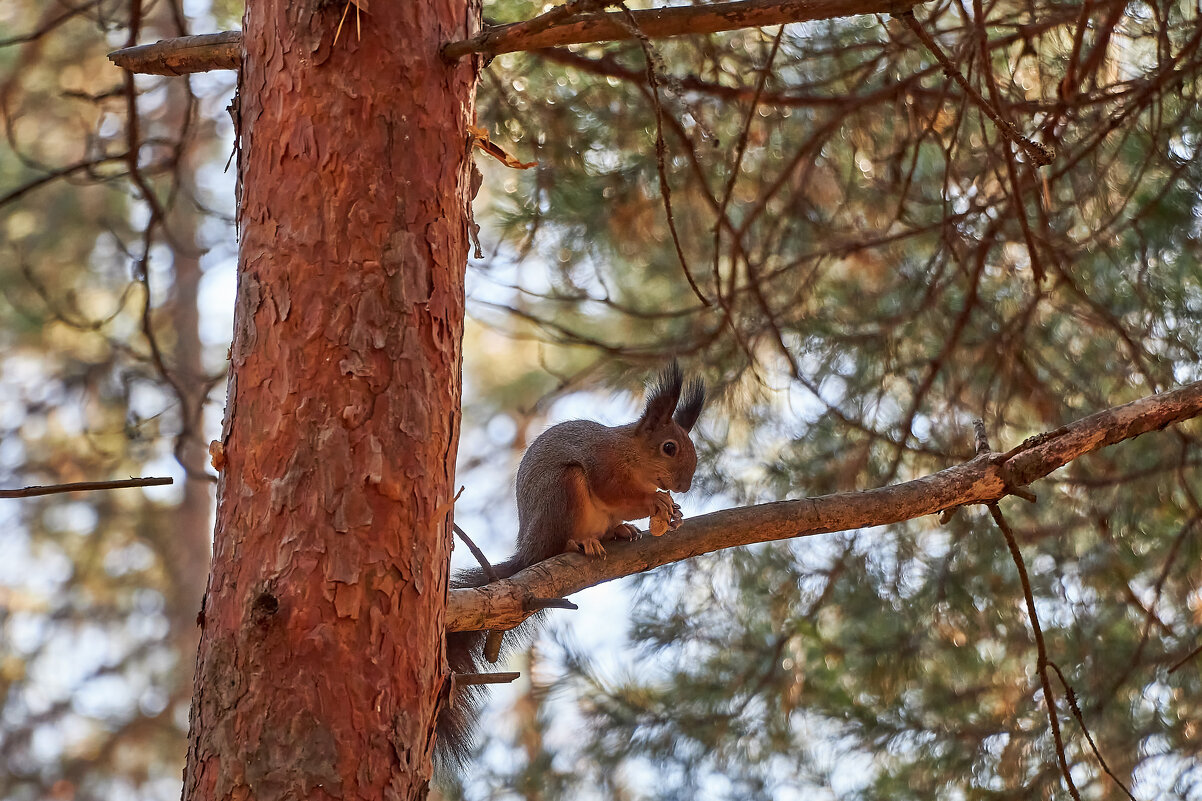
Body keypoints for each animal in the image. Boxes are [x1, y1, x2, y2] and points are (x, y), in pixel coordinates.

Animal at [439, 360, 701, 769]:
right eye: (669, 447)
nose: (686, 485)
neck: (631, 454)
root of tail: (530, 547)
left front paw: (672, 511)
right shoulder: (602, 464)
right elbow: (615, 492)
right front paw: (656, 503)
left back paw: (620, 532)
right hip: (565, 488)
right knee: (563, 536)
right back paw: (581, 542)